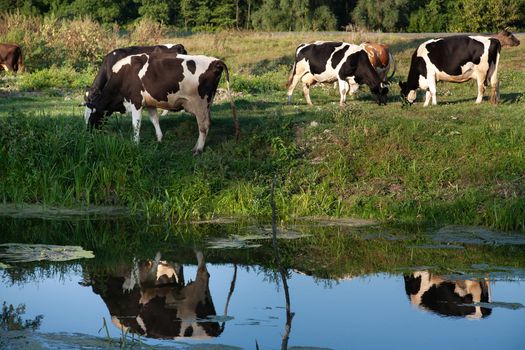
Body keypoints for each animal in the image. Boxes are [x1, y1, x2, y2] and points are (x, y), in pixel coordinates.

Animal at [84, 52, 239, 154]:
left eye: (90, 117)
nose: (88, 133)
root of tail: (215, 61)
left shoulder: (136, 102)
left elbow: (136, 125)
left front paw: (135, 144)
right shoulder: (150, 103)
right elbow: (154, 120)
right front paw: (159, 139)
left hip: (200, 103)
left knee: (204, 126)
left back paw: (198, 149)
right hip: (207, 104)